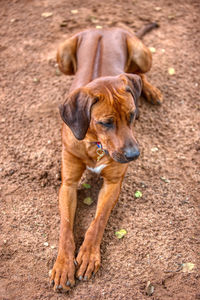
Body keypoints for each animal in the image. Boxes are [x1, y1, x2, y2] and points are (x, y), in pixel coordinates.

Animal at [50, 24, 162, 292]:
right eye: (105, 123)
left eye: (132, 115)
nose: (133, 155)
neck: (95, 143)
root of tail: (105, 27)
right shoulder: (68, 184)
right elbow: (65, 226)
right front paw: (63, 265)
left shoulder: (113, 183)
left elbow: (98, 220)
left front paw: (88, 255)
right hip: (63, 55)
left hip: (141, 53)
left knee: (138, 74)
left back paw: (150, 90)